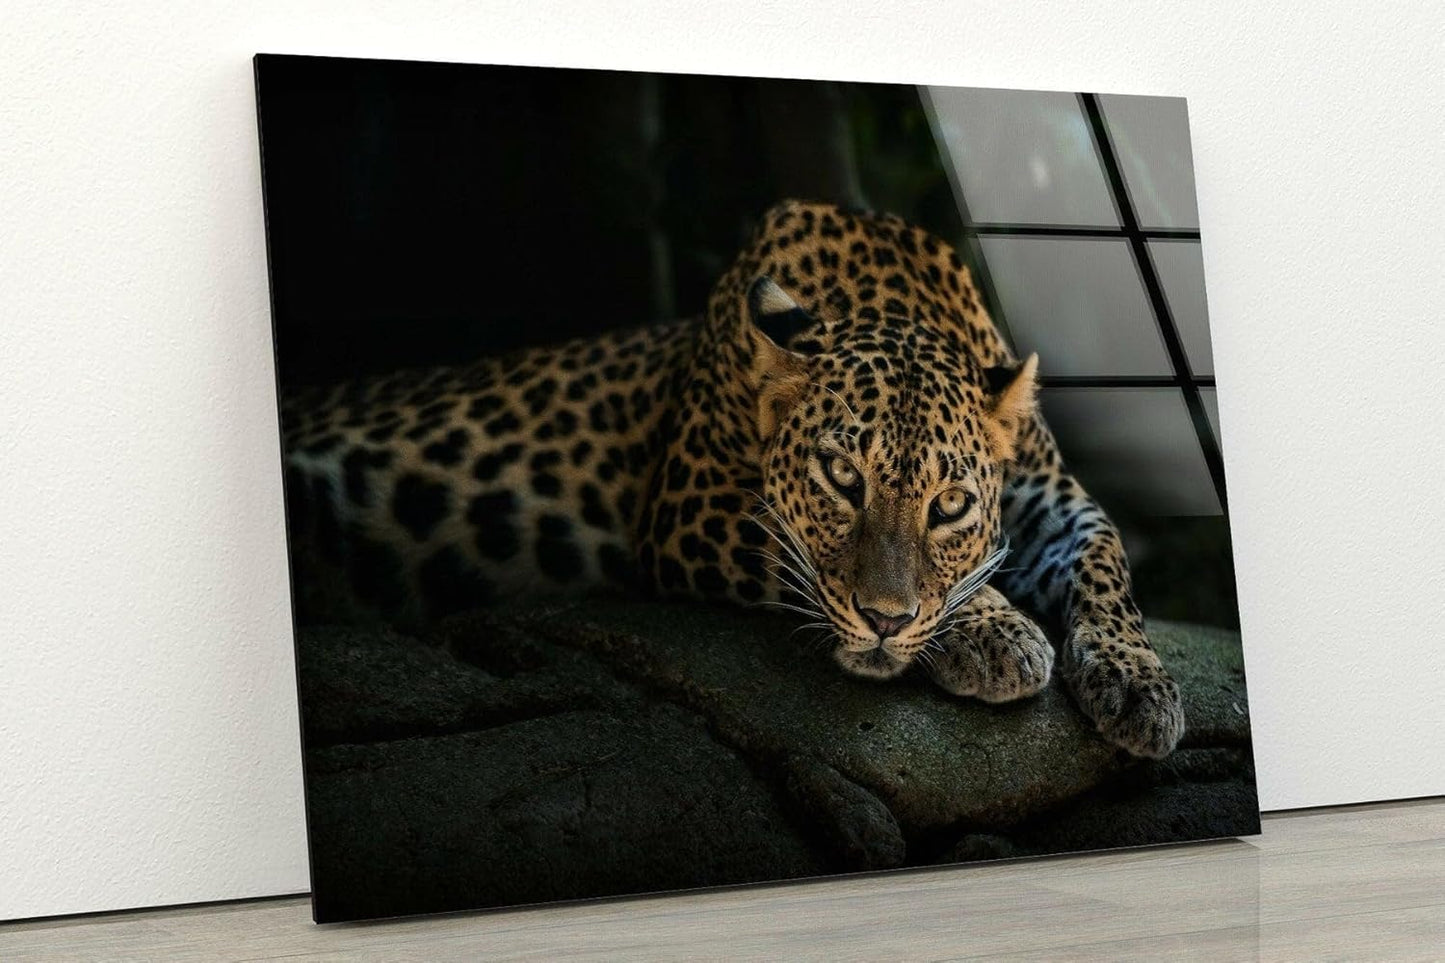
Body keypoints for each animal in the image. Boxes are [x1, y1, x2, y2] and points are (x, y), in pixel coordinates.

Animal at [279, 199, 1186, 759]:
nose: (885, 623)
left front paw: (1138, 684)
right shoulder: (688, 507)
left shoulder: (1051, 496)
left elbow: (1106, 561)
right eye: (839, 476)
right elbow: (807, 562)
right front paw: (994, 632)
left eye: (952, 503)